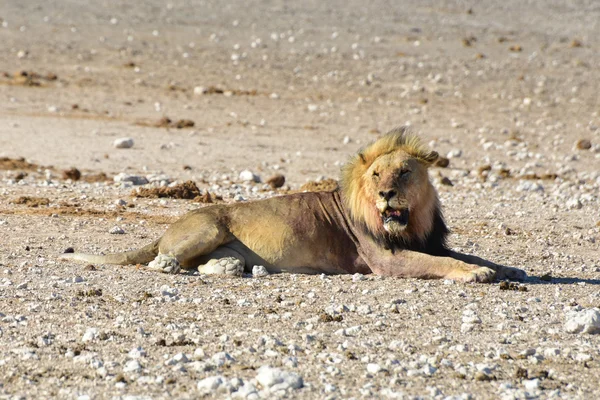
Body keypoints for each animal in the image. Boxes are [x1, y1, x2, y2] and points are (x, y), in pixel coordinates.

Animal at [61, 127, 524, 282]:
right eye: (377, 176)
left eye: (404, 173)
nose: (386, 194)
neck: (411, 222)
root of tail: (167, 227)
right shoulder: (386, 260)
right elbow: (444, 263)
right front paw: (477, 274)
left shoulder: (428, 240)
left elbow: (469, 254)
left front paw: (509, 269)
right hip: (207, 226)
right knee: (163, 260)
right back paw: (173, 265)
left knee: (212, 265)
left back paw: (231, 268)